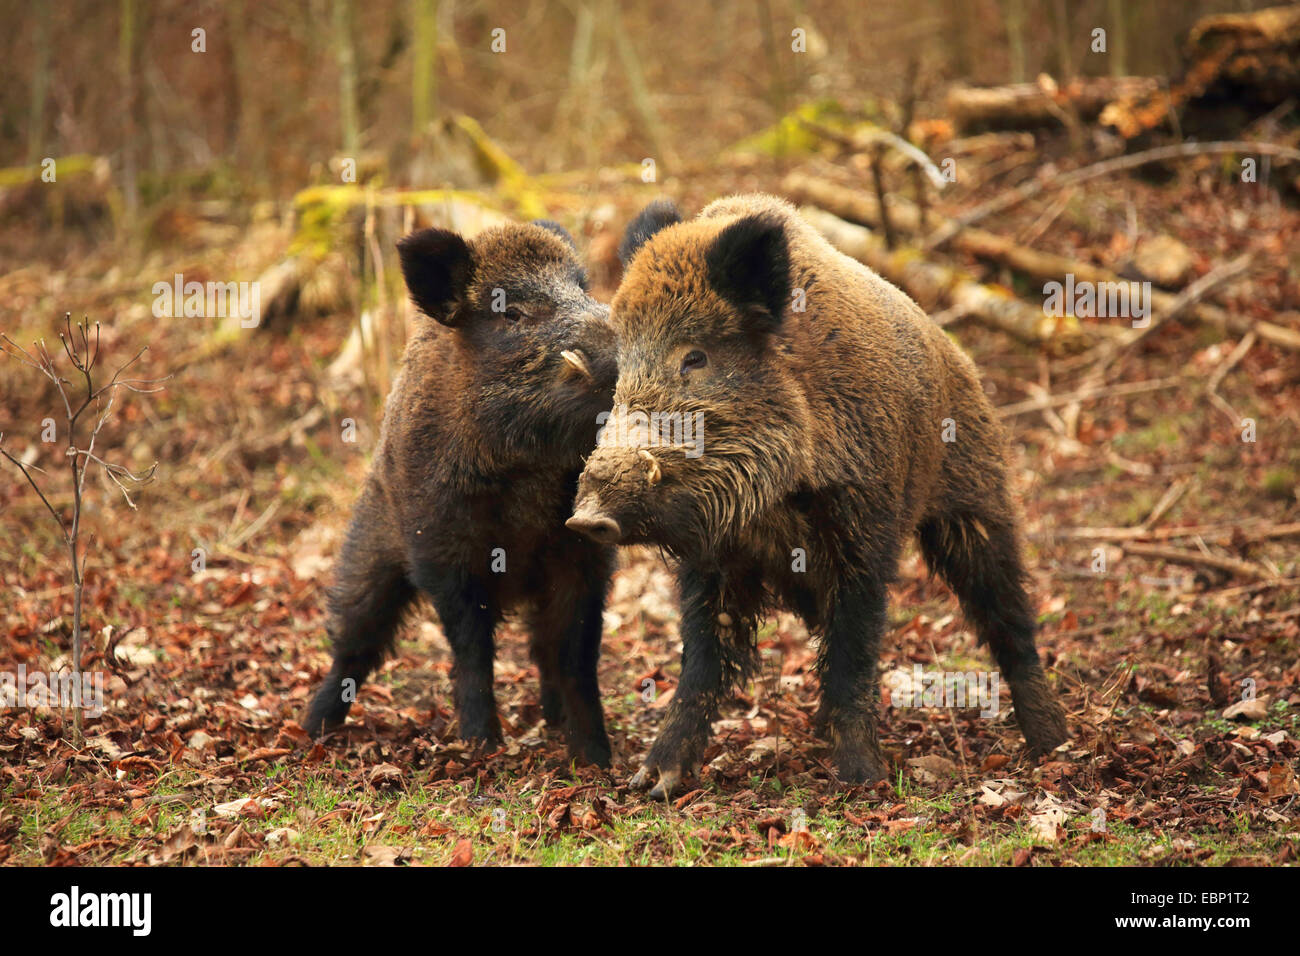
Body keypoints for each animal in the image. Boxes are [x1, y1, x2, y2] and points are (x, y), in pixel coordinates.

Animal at [305, 220, 618, 767]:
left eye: (582, 288)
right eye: (511, 312)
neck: (528, 471)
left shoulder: (583, 556)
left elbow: (576, 655)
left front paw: (597, 759)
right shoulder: (441, 549)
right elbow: (472, 649)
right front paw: (482, 748)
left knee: (541, 651)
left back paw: (554, 722)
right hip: (371, 546)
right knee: (355, 637)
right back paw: (312, 729)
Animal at [567, 195, 1068, 796]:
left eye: (695, 357)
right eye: (622, 366)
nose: (585, 519)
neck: (774, 501)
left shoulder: (865, 535)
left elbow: (854, 650)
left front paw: (861, 780)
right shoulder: (713, 560)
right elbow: (703, 660)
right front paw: (652, 782)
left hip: (976, 495)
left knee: (1004, 607)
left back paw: (1053, 743)